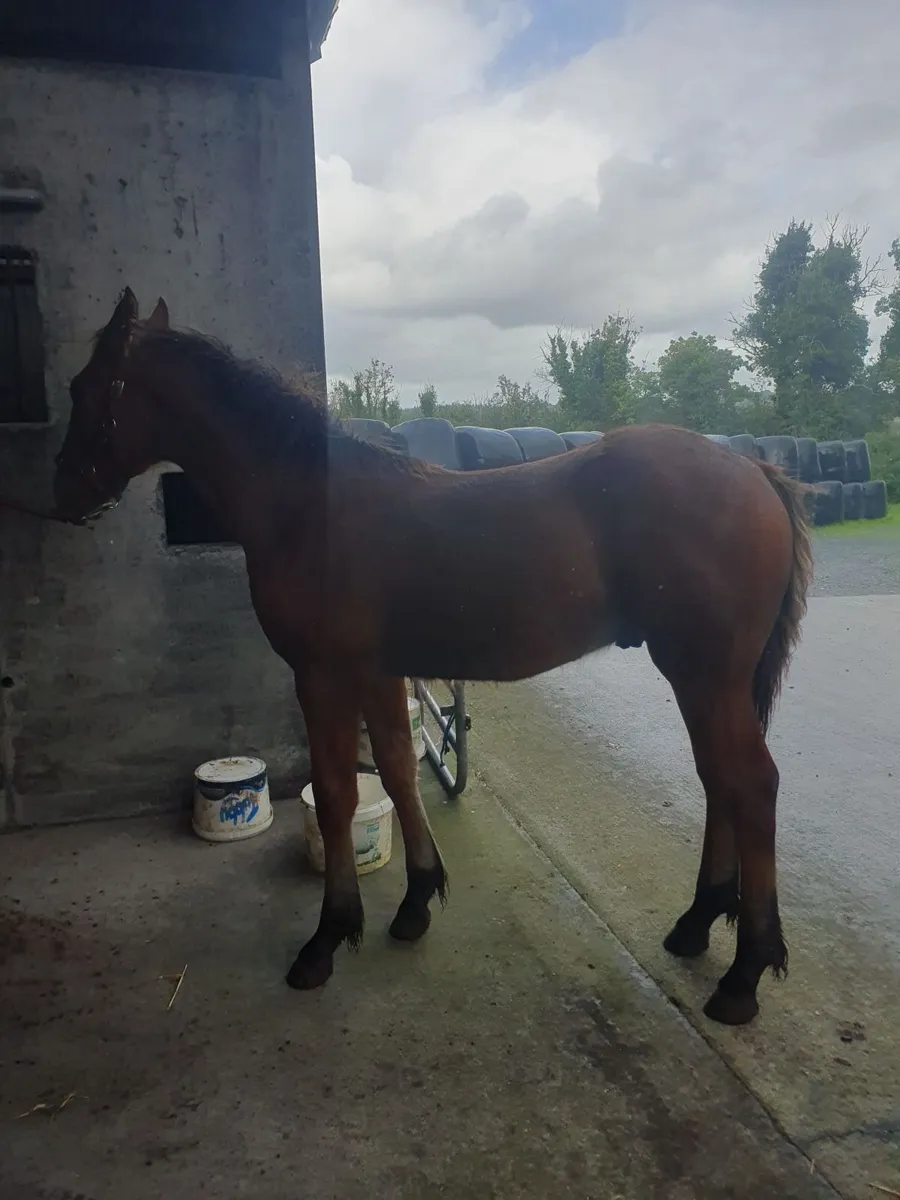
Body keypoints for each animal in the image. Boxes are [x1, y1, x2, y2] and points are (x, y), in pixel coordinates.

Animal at [52, 288, 812, 1026]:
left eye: (83, 386)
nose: (62, 495)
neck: (307, 505)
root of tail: (753, 468)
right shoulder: (378, 672)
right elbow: (396, 768)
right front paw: (416, 900)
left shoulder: (322, 676)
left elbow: (338, 793)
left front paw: (328, 937)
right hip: (706, 680)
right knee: (719, 781)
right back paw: (698, 922)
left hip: (703, 674)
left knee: (750, 784)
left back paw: (746, 974)